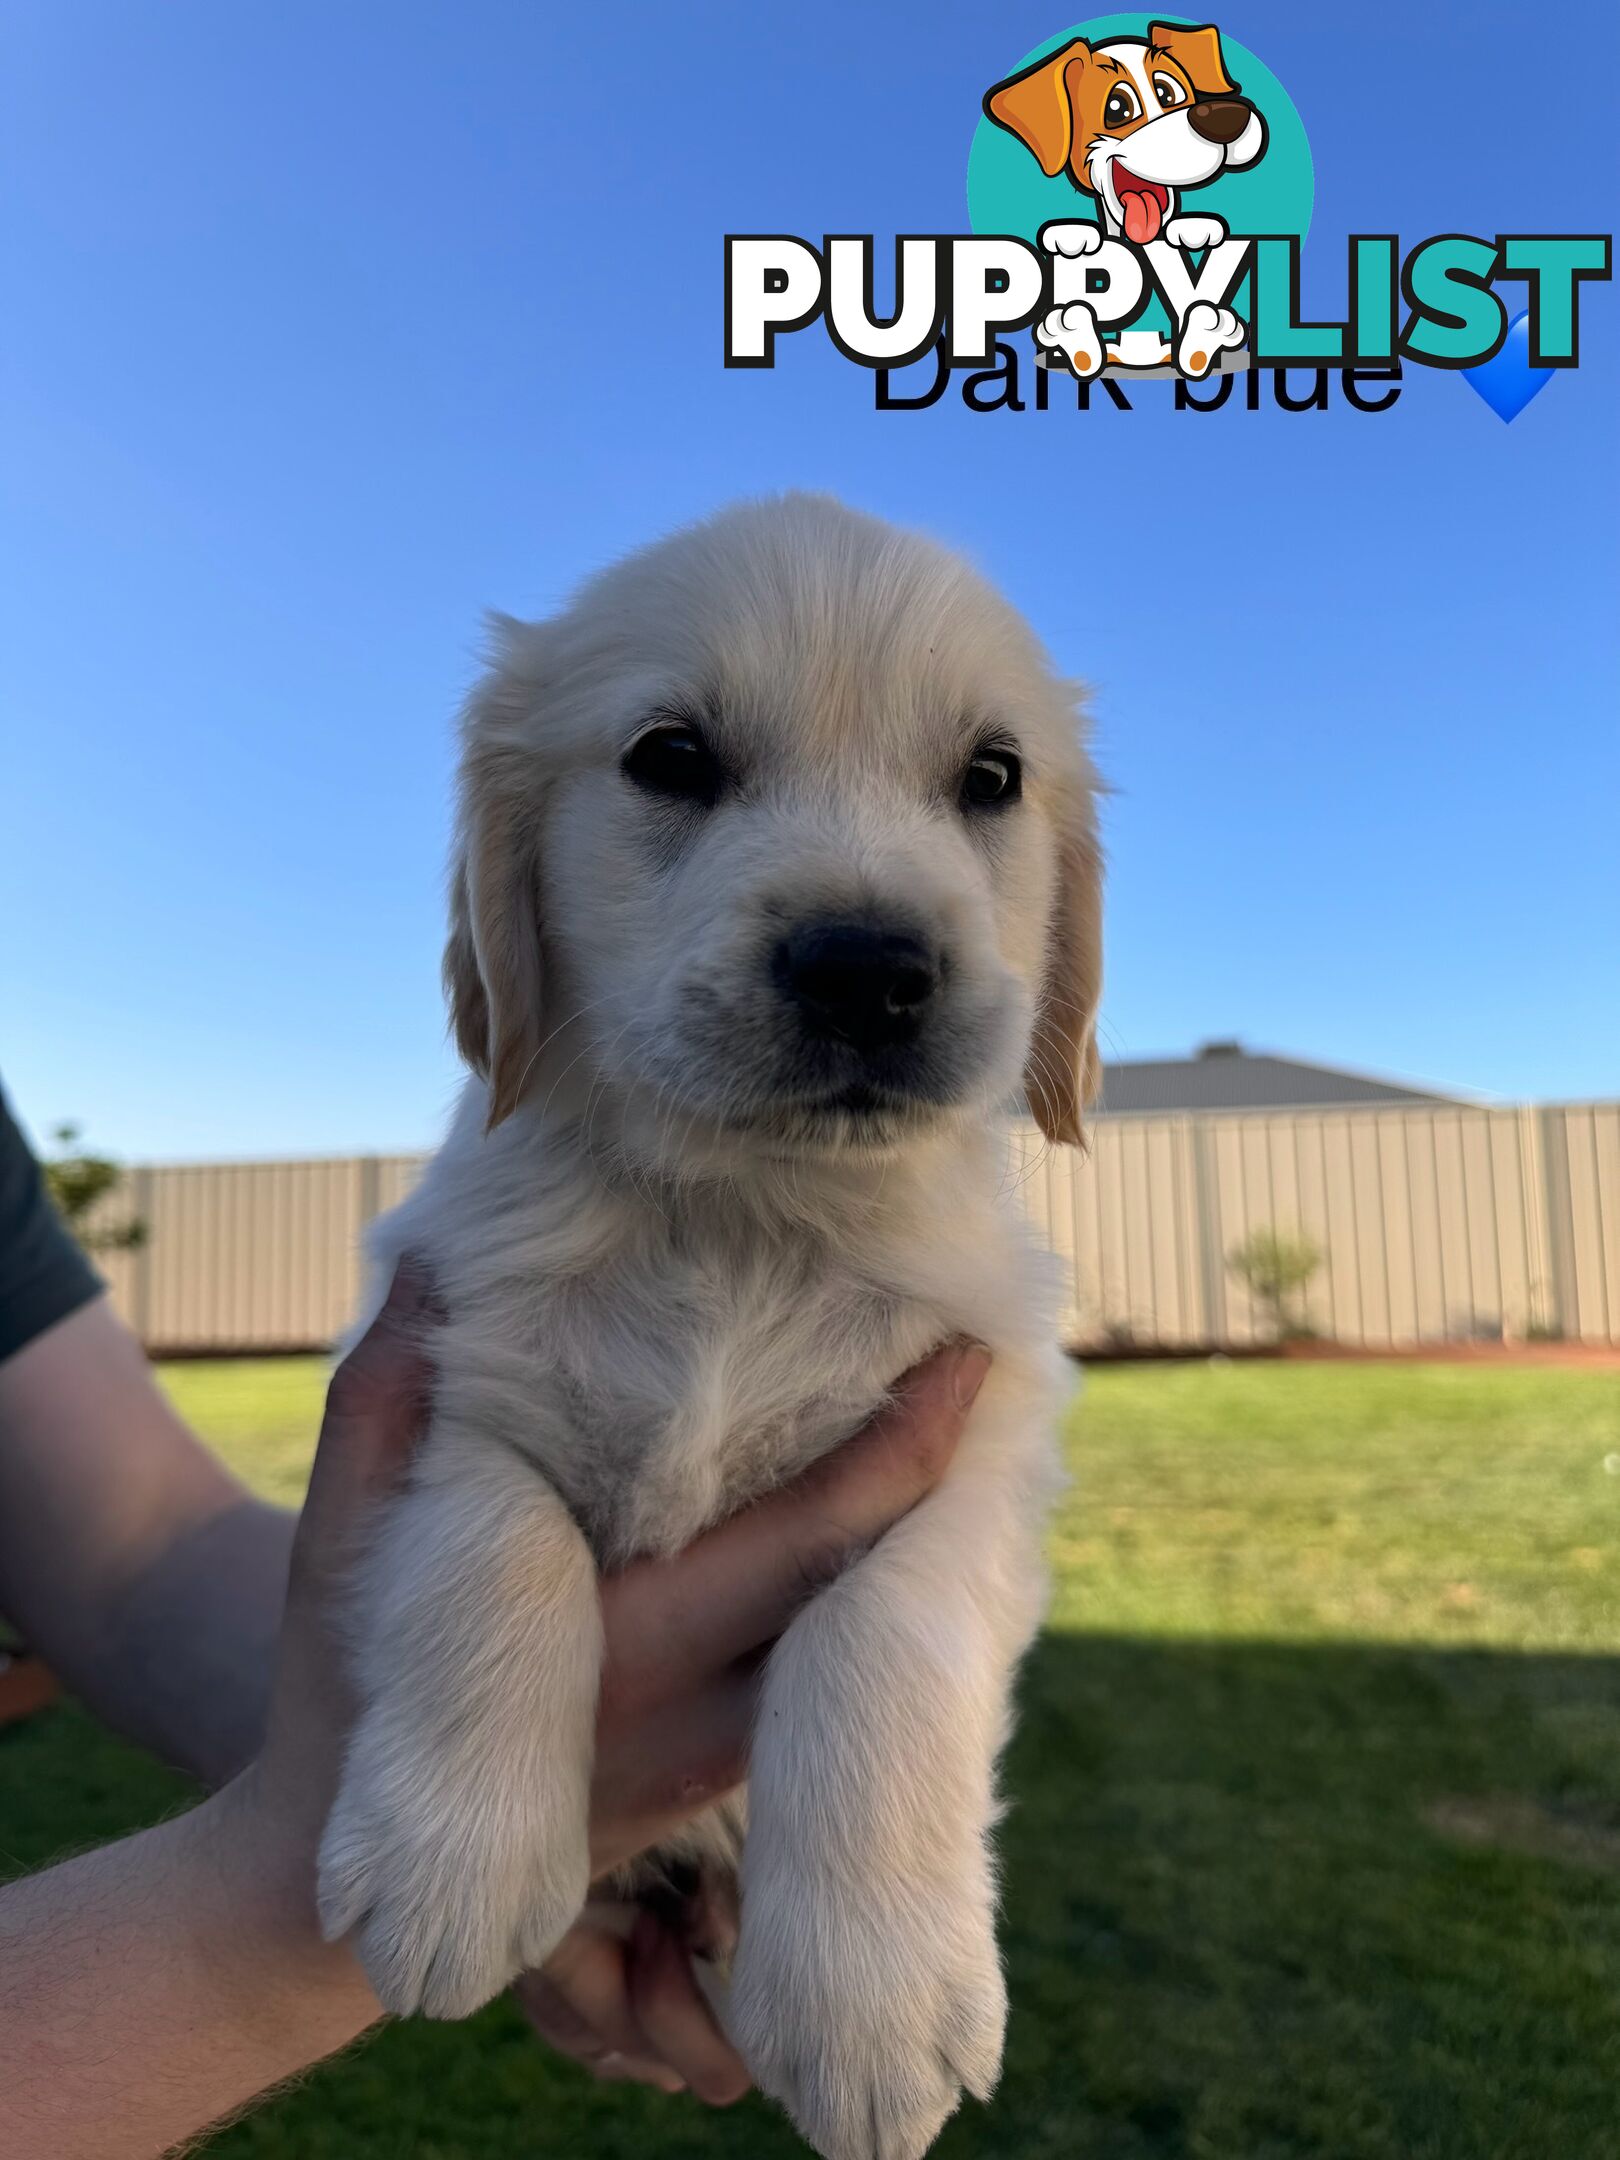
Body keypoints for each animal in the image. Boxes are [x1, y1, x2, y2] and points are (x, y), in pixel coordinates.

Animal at [317, 494, 1105, 2160]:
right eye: (671, 757)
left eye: (991, 778)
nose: (869, 967)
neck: (748, 1220)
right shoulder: (450, 1378)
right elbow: (502, 1552)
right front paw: (447, 1868)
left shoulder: (975, 1451)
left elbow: (876, 1636)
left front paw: (869, 2004)